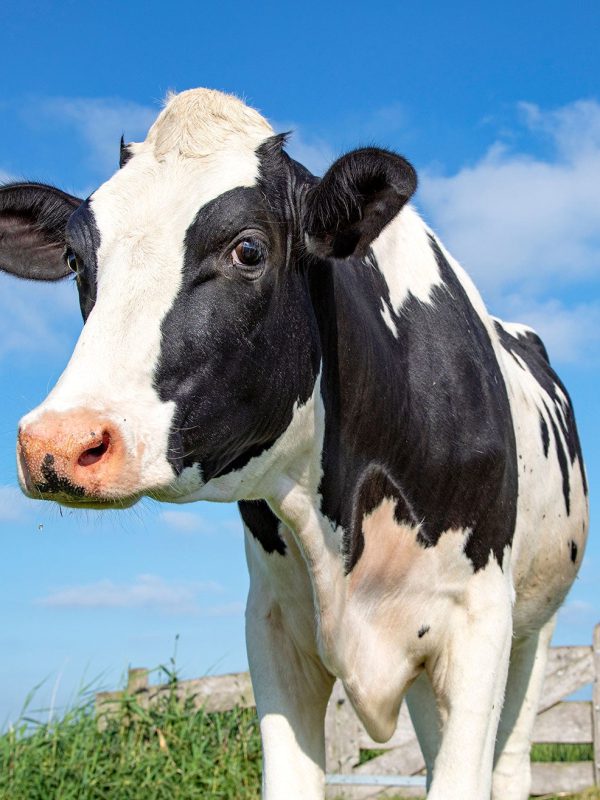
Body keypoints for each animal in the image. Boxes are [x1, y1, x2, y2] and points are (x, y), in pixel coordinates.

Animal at [0, 88, 588, 800]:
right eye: (74, 261)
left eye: (248, 249)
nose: (59, 441)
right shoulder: (274, 625)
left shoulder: (480, 623)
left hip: (534, 630)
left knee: (511, 758)